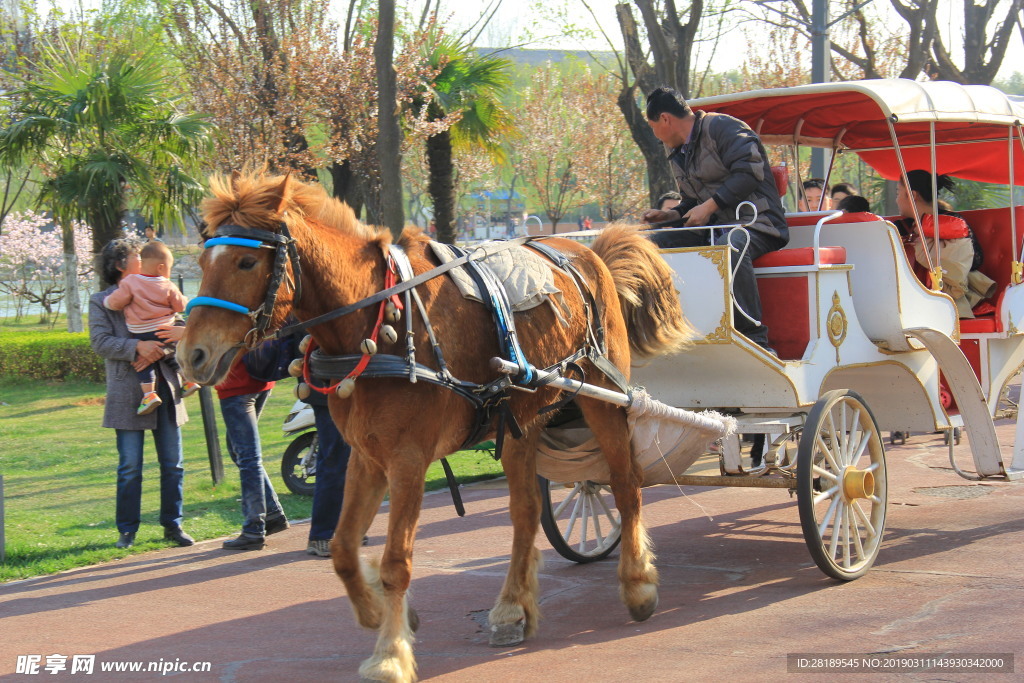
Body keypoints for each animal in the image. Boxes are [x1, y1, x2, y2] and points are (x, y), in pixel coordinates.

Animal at [180, 172, 692, 683]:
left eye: (247, 260)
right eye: (202, 260)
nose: (191, 355)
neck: (376, 320)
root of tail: (586, 251)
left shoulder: (407, 459)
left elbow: (396, 562)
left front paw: (390, 654)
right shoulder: (367, 456)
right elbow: (343, 550)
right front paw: (377, 613)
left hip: (602, 397)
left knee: (625, 486)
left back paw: (637, 583)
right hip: (521, 422)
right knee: (526, 512)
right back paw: (512, 607)